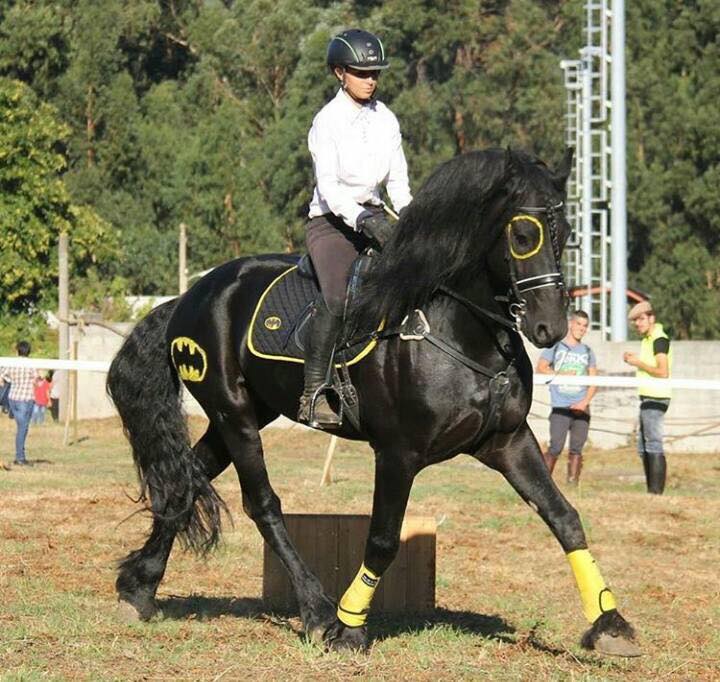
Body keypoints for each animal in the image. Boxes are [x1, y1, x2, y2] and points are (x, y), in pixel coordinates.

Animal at [105, 147, 636, 652]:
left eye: (568, 232)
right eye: (522, 236)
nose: (550, 328)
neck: (463, 330)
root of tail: (191, 295)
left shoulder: (508, 442)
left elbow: (564, 517)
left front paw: (610, 623)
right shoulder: (398, 454)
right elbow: (382, 540)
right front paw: (350, 627)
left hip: (243, 412)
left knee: (185, 481)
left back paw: (139, 588)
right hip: (233, 413)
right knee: (262, 504)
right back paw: (316, 611)